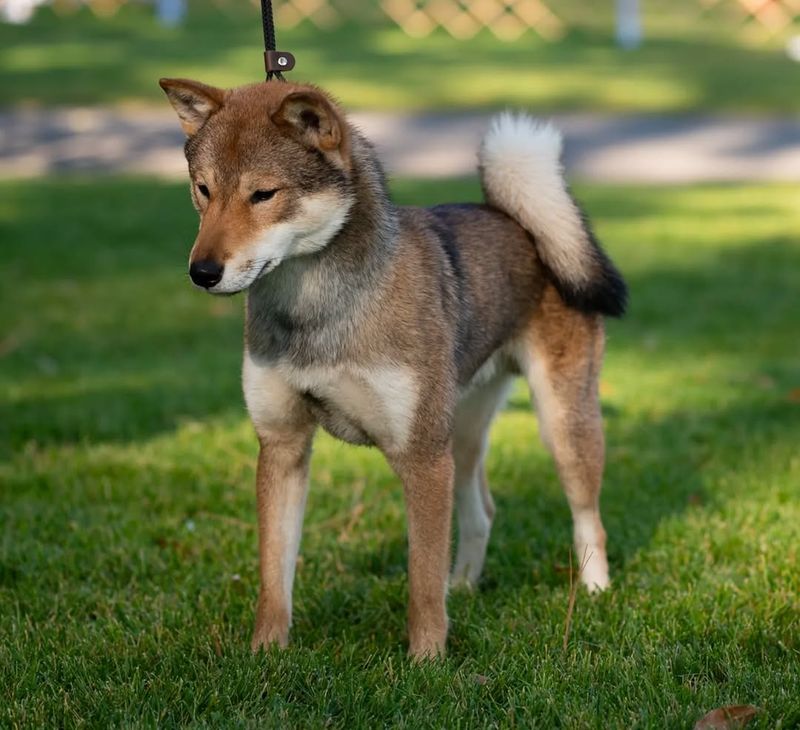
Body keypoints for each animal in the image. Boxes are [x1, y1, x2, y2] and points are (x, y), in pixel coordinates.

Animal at [159, 77, 628, 656]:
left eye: (263, 194)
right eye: (203, 190)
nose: (202, 272)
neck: (317, 308)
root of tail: (518, 221)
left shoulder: (421, 457)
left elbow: (421, 582)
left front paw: (426, 661)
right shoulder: (283, 445)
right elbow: (274, 576)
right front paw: (265, 654)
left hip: (560, 425)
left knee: (588, 518)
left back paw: (594, 591)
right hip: (462, 434)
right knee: (482, 512)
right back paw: (464, 586)